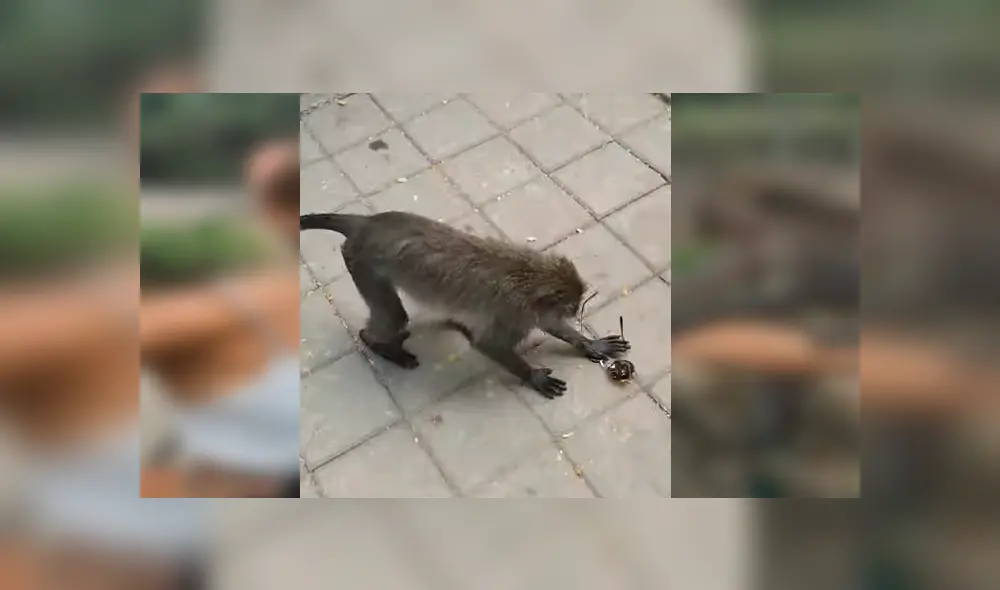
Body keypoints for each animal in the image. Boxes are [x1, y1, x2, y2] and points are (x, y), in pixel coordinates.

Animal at [299, 211, 631, 398]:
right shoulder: (515, 311)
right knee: (392, 315)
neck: (527, 275)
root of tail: (367, 224)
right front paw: (532, 376)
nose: (574, 314)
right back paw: (378, 343)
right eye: (570, 308)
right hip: (362, 263)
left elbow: (549, 325)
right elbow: (489, 344)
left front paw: (589, 344)